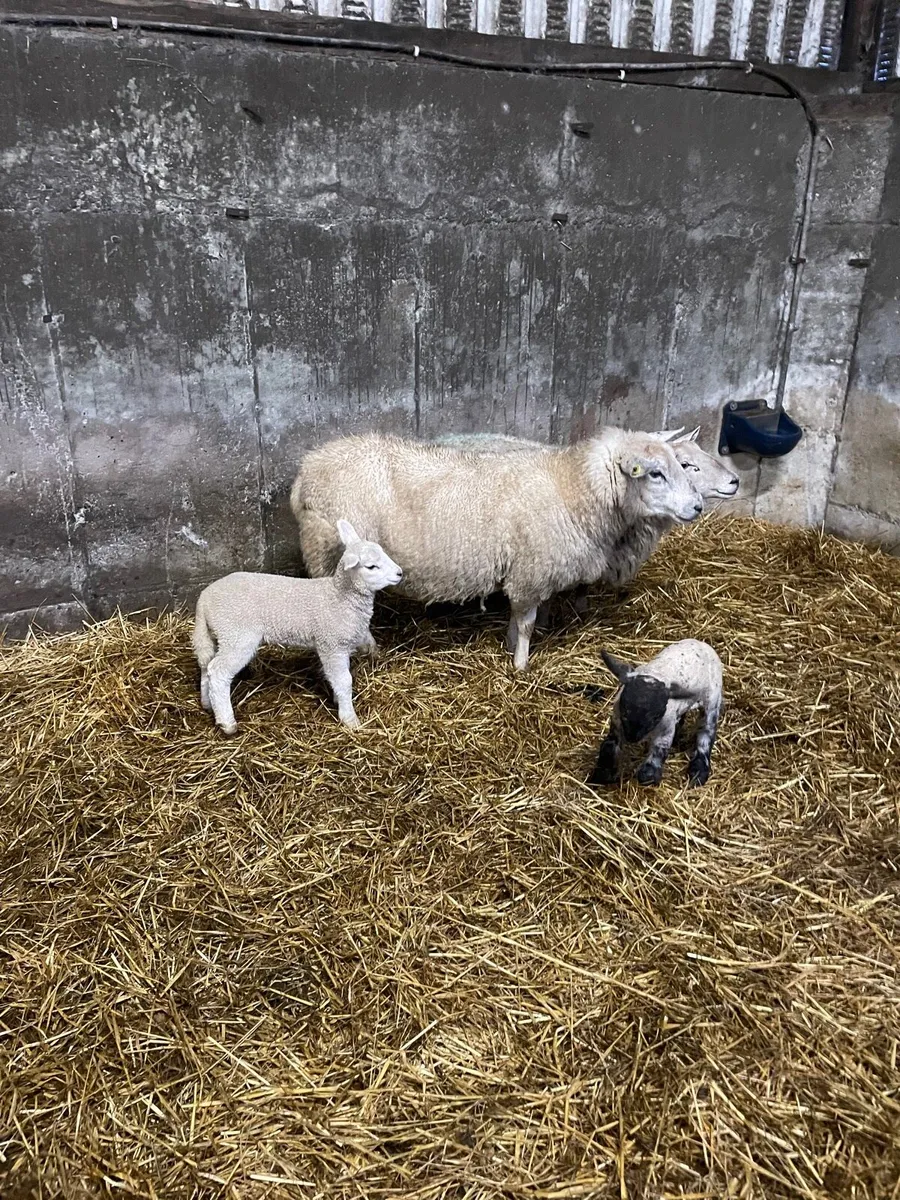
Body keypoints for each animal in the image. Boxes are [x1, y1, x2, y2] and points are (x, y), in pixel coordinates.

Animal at [192, 520, 403, 733]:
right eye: (371, 566)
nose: (399, 573)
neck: (339, 596)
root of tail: (203, 599)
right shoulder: (331, 645)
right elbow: (344, 681)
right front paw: (350, 719)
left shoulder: (338, 646)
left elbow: (338, 678)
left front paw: (338, 701)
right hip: (237, 635)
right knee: (218, 671)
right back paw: (227, 723)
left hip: (217, 634)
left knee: (206, 665)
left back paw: (208, 704)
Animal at [290, 428, 703, 671]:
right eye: (656, 473)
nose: (698, 507)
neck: (571, 487)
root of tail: (306, 471)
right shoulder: (532, 570)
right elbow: (527, 623)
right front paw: (520, 665)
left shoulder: (528, 571)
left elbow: (518, 618)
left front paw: (508, 646)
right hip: (330, 553)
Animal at [588, 639, 724, 788]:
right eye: (625, 710)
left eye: (655, 717)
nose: (632, 738)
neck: (655, 673)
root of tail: (701, 643)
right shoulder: (617, 721)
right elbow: (609, 747)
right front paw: (602, 776)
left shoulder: (665, 730)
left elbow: (658, 752)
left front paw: (649, 777)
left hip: (712, 700)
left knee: (706, 732)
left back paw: (699, 772)